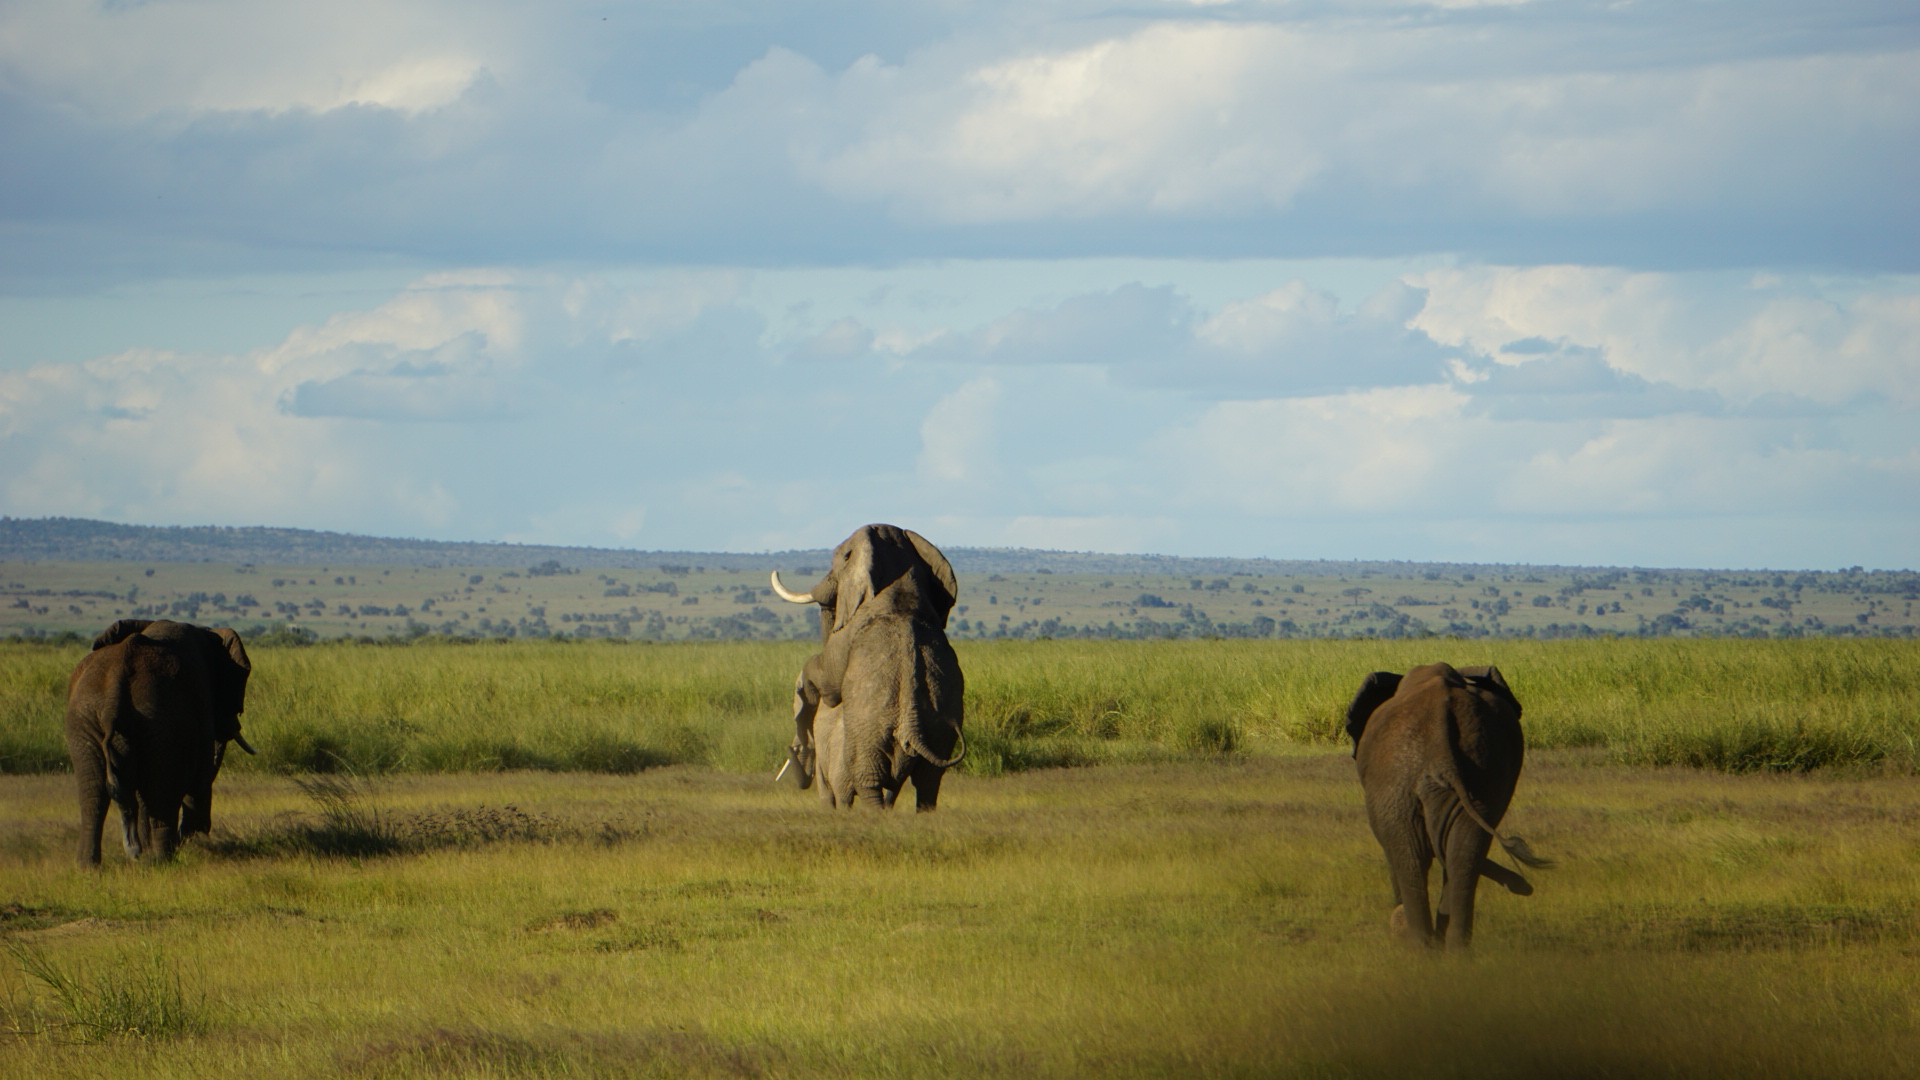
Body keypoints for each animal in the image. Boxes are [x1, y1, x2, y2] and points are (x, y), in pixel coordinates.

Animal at [65, 618, 257, 860]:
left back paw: (92, 864)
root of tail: (115, 692)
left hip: (85, 719)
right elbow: (201, 775)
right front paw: (193, 842)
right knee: (162, 793)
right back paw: (163, 859)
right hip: (158, 721)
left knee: (93, 795)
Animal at [771, 522, 967, 807]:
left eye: (840, 558)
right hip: (940, 731)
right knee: (928, 783)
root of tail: (912, 727)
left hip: (869, 731)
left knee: (868, 780)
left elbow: (828, 678)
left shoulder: (851, 631)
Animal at [1344, 661, 1551, 945]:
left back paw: (1423, 945)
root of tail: (1441, 744)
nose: (1524, 887)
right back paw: (1452, 949)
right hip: (1481, 777)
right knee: (1460, 856)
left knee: (1414, 857)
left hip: (1397, 784)